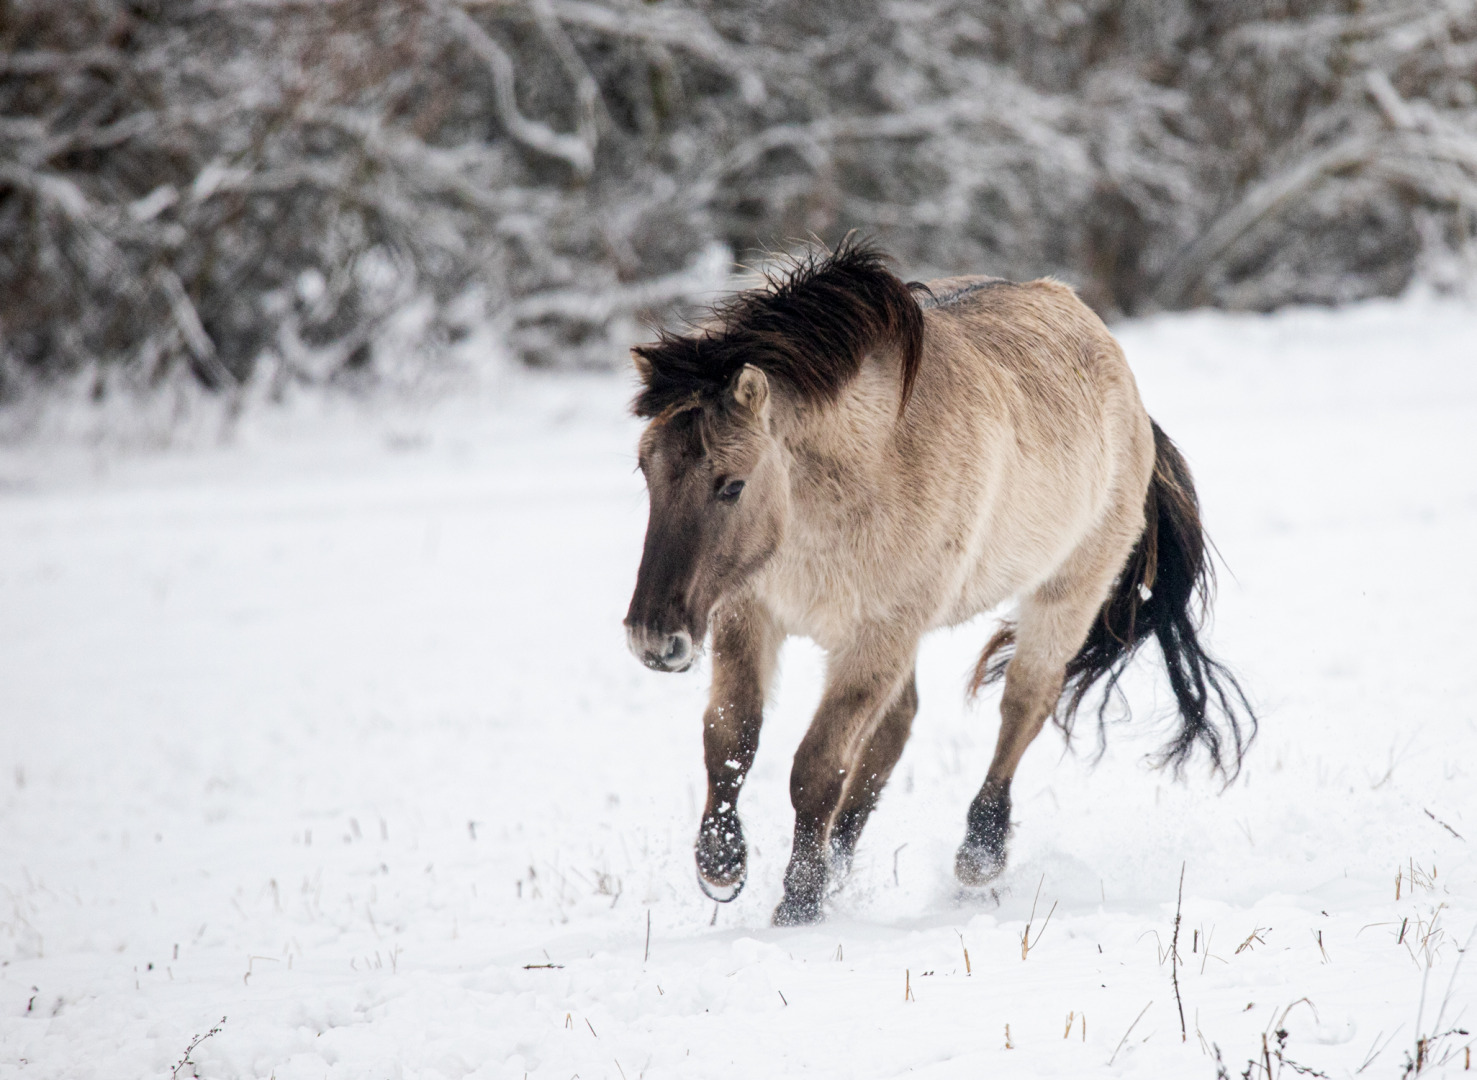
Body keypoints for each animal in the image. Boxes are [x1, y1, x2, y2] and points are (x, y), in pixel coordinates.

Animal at [617, 240, 1252, 927]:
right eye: (646, 468)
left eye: (731, 484)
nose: (654, 640)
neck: (858, 473)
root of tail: (1132, 403)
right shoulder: (749, 613)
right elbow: (730, 735)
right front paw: (722, 864)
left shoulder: (875, 636)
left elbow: (816, 768)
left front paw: (798, 906)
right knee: (894, 733)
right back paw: (843, 865)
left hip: (1065, 594)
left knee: (1024, 704)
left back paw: (979, 855)